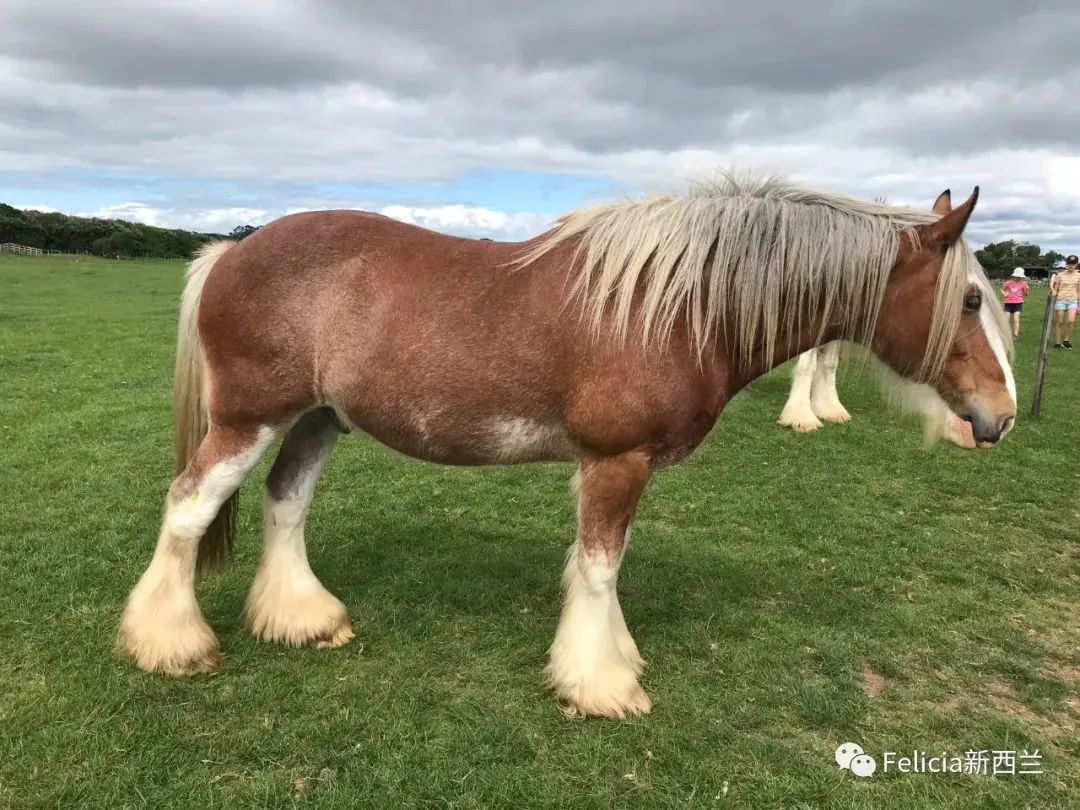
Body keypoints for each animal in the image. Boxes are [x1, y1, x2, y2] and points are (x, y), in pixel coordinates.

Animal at [122, 176, 1015, 717]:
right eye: (971, 300)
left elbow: (601, 569)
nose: (999, 417)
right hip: (249, 419)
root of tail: (233, 249)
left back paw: (302, 619)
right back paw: (169, 643)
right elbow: (598, 568)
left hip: (316, 419)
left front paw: (612, 661)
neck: (674, 304)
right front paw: (600, 684)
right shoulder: (615, 463)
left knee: (285, 503)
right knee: (189, 507)